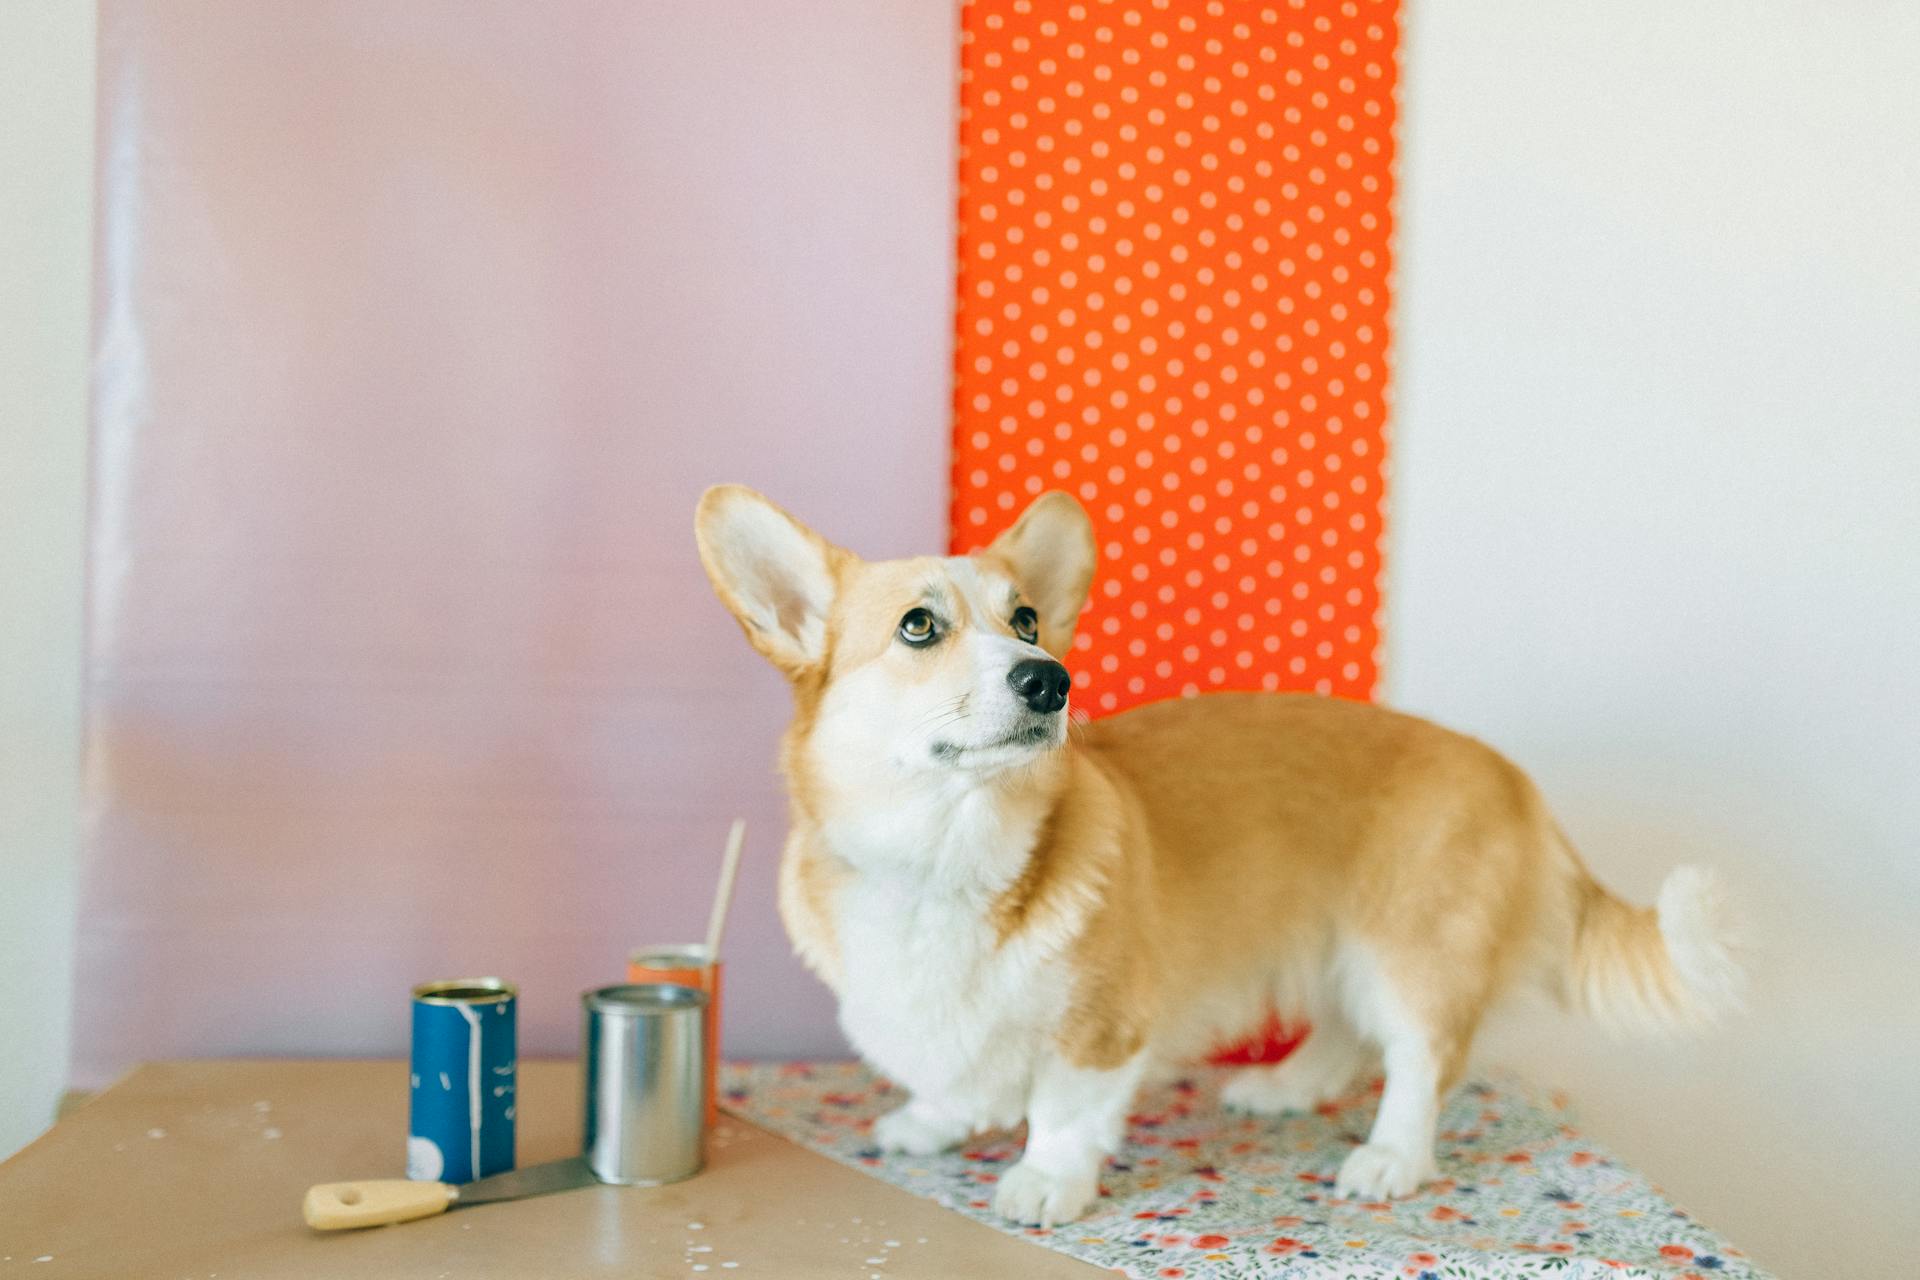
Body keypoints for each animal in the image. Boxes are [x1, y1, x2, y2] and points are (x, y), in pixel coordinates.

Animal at [691, 485, 1743, 1228]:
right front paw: (932, 1120)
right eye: (919, 625)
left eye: (1025, 621)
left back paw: (1391, 1158)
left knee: (1421, 1057)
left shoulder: (1106, 1023)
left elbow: (1067, 1105)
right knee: (1349, 1034)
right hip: (1333, 941)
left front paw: (1044, 1179)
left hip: (1407, 948)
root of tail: (1509, 773)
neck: (945, 851)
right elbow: (948, 1075)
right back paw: (1285, 1086)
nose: (1049, 679)